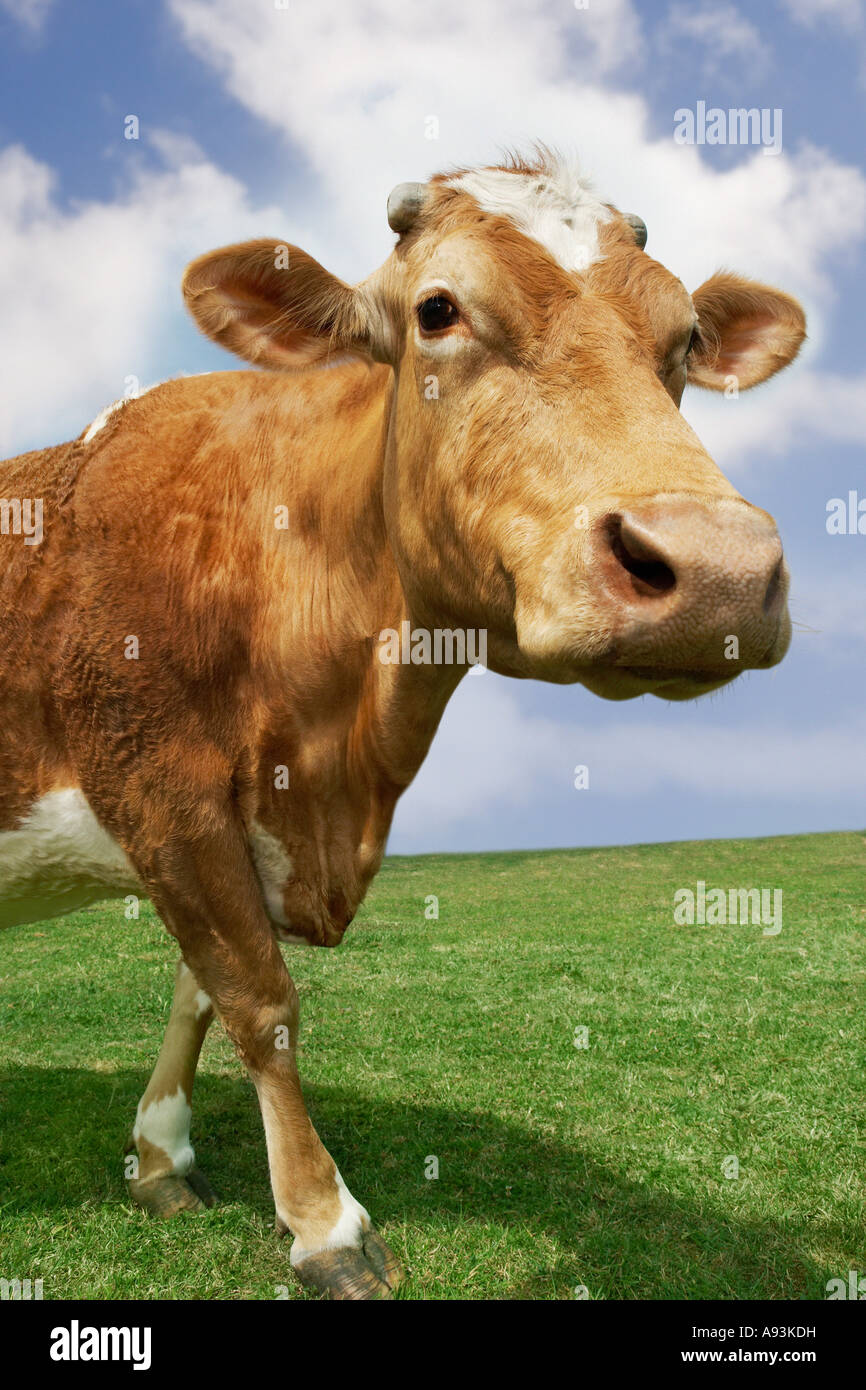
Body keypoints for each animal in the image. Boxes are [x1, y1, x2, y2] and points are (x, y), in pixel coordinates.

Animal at [0, 151, 805, 1299]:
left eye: (686, 336)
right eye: (437, 310)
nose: (720, 572)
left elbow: (200, 989)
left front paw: (160, 1157)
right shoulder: (159, 790)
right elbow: (259, 1000)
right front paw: (324, 1224)